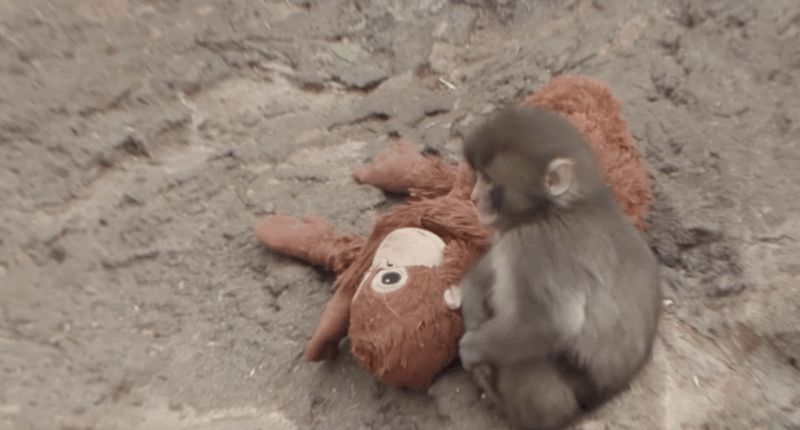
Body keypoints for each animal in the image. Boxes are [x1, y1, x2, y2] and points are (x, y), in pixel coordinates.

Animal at [457, 106, 661, 430]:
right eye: (478, 176)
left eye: (488, 180)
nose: (474, 197)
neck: (562, 208)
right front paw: (472, 299)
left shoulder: (534, 244)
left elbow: (549, 323)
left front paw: (472, 348)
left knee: (526, 365)